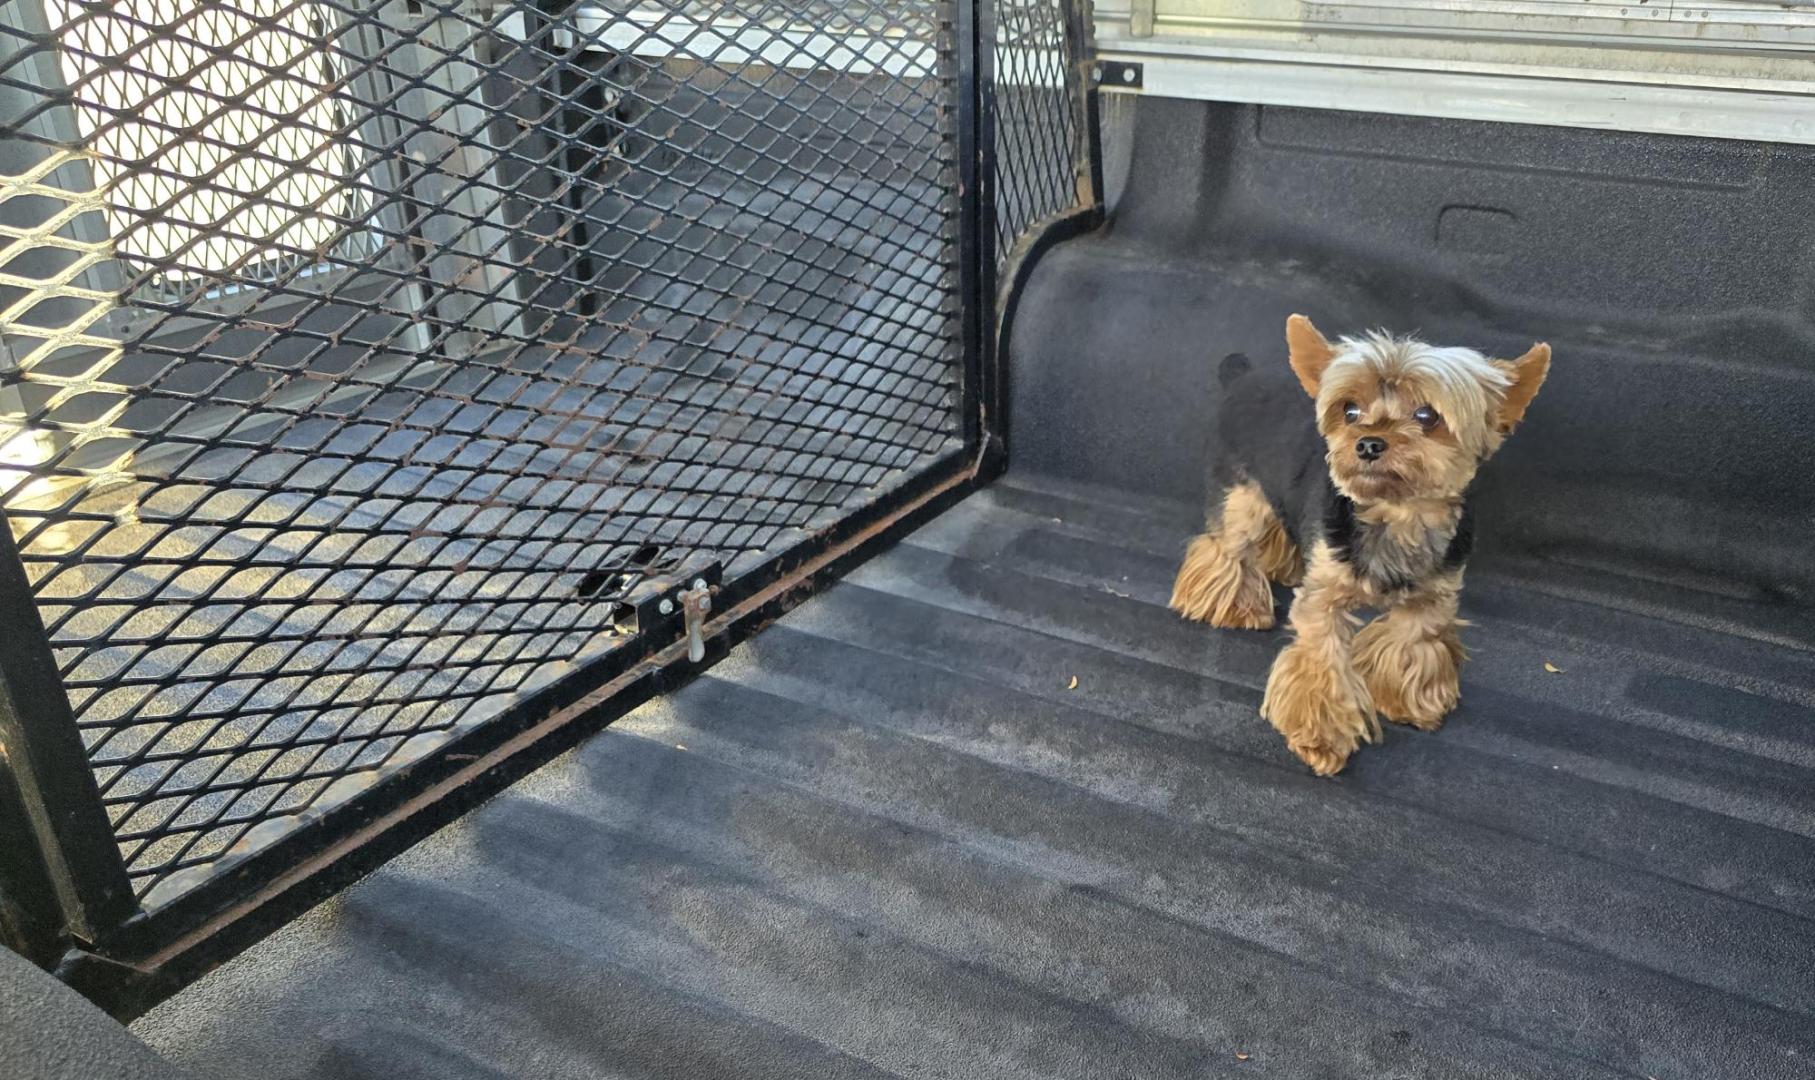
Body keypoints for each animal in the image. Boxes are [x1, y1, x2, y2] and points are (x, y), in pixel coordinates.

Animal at [1176, 314, 1546, 776]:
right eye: (1350, 411)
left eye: (1427, 415)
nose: (1368, 443)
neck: (1394, 515)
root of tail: (1242, 375)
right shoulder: (1323, 599)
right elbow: (1321, 658)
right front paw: (1321, 740)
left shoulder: (1432, 597)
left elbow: (1413, 642)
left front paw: (1409, 703)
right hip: (1239, 494)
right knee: (1228, 546)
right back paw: (1234, 607)